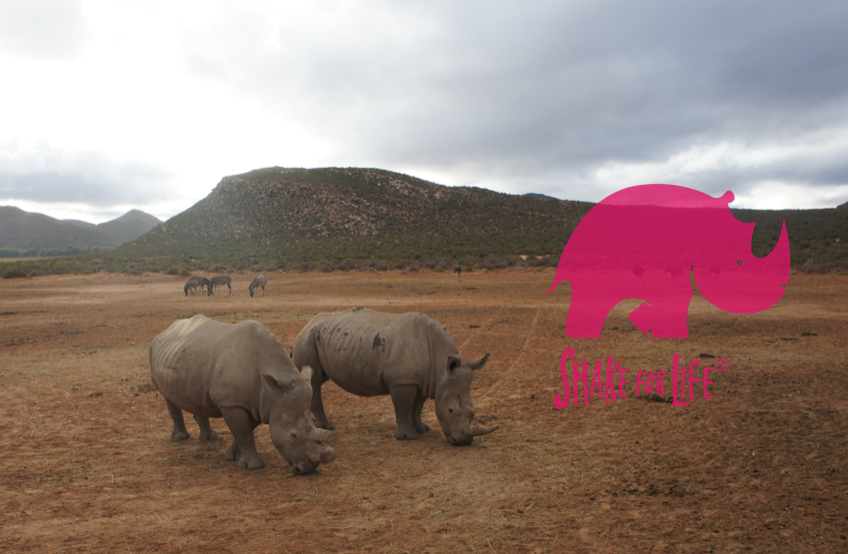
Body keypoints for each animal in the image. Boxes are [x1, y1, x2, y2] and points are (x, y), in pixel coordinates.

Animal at [149, 314, 336, 475]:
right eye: (293, 435)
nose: (308, 468)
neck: (274, 392)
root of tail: (166, 331)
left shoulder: (259, 403)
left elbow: (246, 430)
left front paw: (232, 456)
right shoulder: (232, 403)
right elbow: (244, 433)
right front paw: (253, 466)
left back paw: (210, 439)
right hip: (155, 354)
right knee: (168, 397)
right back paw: (180, 438)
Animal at [292, 307, 498, 445]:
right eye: (450, 410)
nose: (463, 442)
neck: (441, 367)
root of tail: (306, 324)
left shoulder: (423, 381)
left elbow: (417, 407)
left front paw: (423, 429)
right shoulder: (403, 381)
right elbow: (403, 407)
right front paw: (408, 437)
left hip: (323, 335)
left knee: (317, 380)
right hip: (306, 338)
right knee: (315, 381)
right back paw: (327, 427)